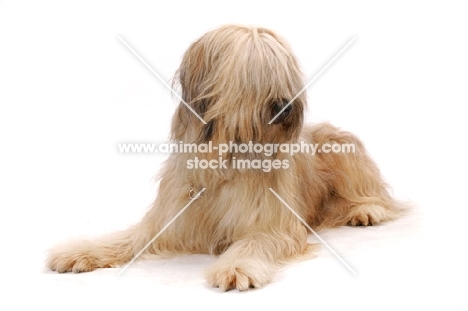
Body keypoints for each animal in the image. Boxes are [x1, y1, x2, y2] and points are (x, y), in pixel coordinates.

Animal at [45, 25, 400, 292]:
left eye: (284, 72)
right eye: (253, 74)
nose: (286, 106)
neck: (226, 160)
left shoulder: (272, 224)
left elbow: (254, 242)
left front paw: (237, 268)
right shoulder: (170, 219)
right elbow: (124, 238)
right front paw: (76, 252)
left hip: (346, 154)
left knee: (374, 196)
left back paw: (366, 210)